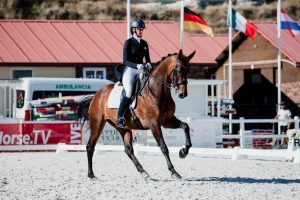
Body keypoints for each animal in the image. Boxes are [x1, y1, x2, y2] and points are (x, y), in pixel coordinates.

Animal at [77, 49, 196, 179]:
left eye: (188, 70)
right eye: (178, 70)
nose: (183, 94)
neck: (156, 92)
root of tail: (96, 95)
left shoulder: (167, 121)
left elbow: (185, 126)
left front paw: (183, 152)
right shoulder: (154, 124)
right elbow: (163, 147)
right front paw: (173, 171)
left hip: (123, 128)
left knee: (128, 150)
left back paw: (143, 171)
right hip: (97, 123)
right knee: (90, 146)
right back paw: (91, 174)